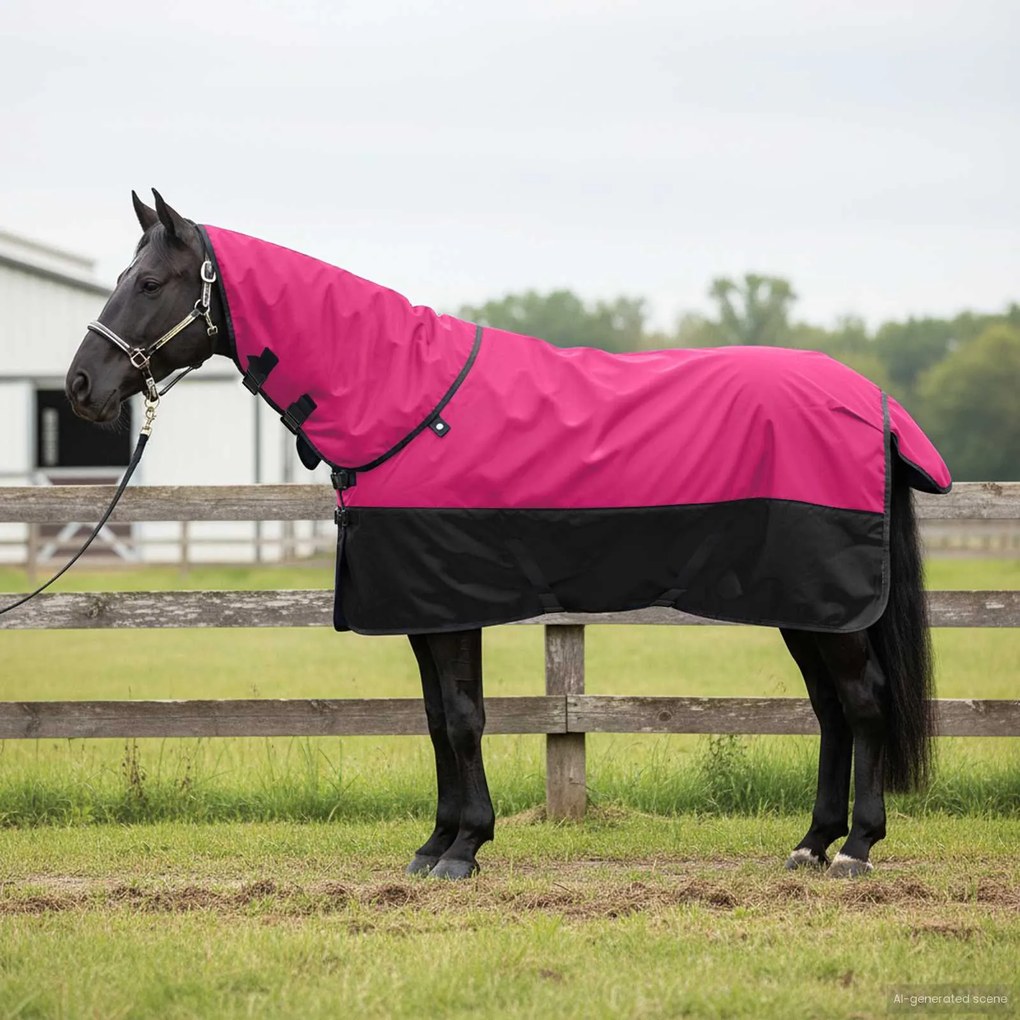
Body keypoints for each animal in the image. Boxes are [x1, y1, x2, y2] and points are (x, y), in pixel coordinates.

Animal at [65, 190, 951, 880]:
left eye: (149, 282)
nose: (80, 386)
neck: (404, 399)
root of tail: (873, 403)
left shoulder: (450, 604)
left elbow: (462, 718)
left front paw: (464, 850)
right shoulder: (423, 609)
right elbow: (436, 720)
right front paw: (435, 845)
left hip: (827, 604)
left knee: (863, 703)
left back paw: (856, 849)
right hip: (805, 606)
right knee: (831, 710)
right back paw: (810, 844)